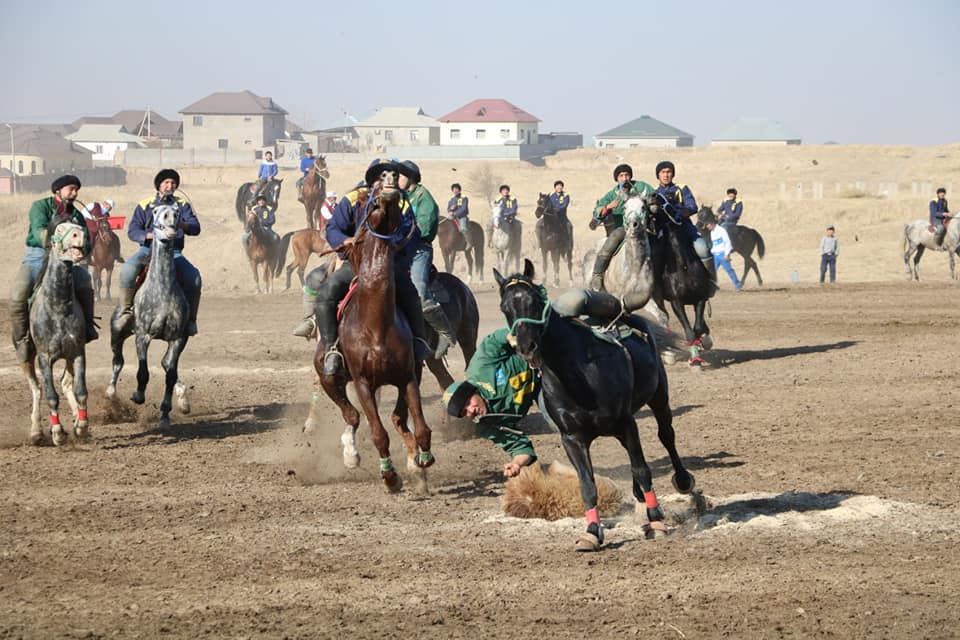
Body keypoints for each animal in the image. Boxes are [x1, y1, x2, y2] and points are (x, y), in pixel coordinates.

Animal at [22, 220, 92, 444]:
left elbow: (81, 391)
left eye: (78, 225)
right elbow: (51, 396)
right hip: (26, 356)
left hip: (68, 356)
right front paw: (58, 432)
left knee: (67, 383)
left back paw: (76, 420)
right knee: (37, 389)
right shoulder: (45, 357)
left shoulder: (78, 353)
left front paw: (82, 427)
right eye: (59, 229)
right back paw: (36, 431)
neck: (58, 307)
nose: (80, 235)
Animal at [107, 202, 191, 428]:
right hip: (117, 331)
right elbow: (143, 372)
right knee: (118, 361)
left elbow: (170, 374)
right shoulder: (142, 336)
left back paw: (183, 399)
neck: (162, 291)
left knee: (167, 364)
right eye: (156, 212)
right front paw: (137, 395)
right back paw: (110, 394)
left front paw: (165, 415)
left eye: (177, 213)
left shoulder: (177, 339)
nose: (170, 226)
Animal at [310, 169, 434, 490]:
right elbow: (377, 432)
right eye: (372, 200)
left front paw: (422, 462)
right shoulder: (363, 383)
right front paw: (390, 477)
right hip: (329, 378)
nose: (389, 177)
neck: (376, 325)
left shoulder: (408, 377)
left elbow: (419, 426)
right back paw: (351, 454)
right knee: (352, 416)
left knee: (396, 419)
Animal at [496, 258, 696, 552]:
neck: (578, 377)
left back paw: (680, 481)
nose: (525, 346)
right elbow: (587, 485)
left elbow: (642, 470)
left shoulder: (627, 423)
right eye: (504, 307)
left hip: (659, 397)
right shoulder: (572, 439)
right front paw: (591, 533)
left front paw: (657, 521)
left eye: (533, 300)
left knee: (666, 437)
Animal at [648, 194, 716, 364]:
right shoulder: (676, 302)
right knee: (663, 317)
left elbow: (697, 328)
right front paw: (695, 359)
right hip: (659, 300)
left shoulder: (700, 298)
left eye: (671, 198)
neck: (683, 265)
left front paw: (703, 343)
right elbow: (689, 332)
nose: (652, 196)